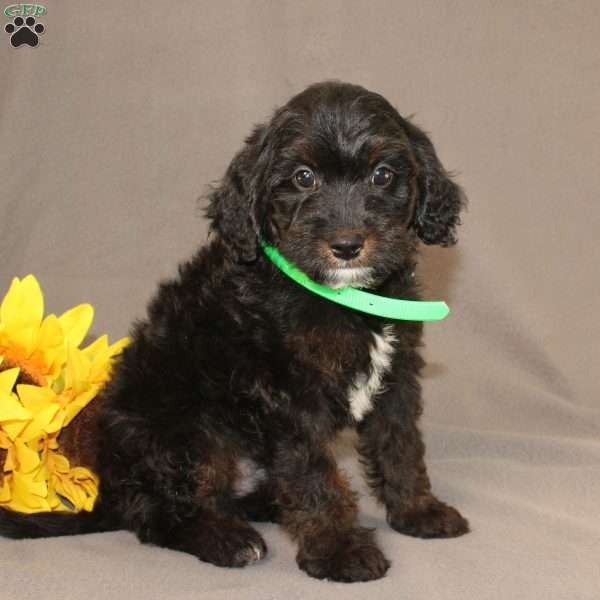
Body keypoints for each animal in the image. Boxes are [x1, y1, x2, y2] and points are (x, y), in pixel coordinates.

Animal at [0, 81, 468, 580]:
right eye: (303, 178)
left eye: (383, 175)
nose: (346, 245)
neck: (343, 298)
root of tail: (112, 490)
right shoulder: (289, 398)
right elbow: (314, 475)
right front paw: (339, 549)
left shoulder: (396, 376)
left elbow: (400, 447)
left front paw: (418, 511)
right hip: (184, 435)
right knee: (159, 515)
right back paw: (225, 540)